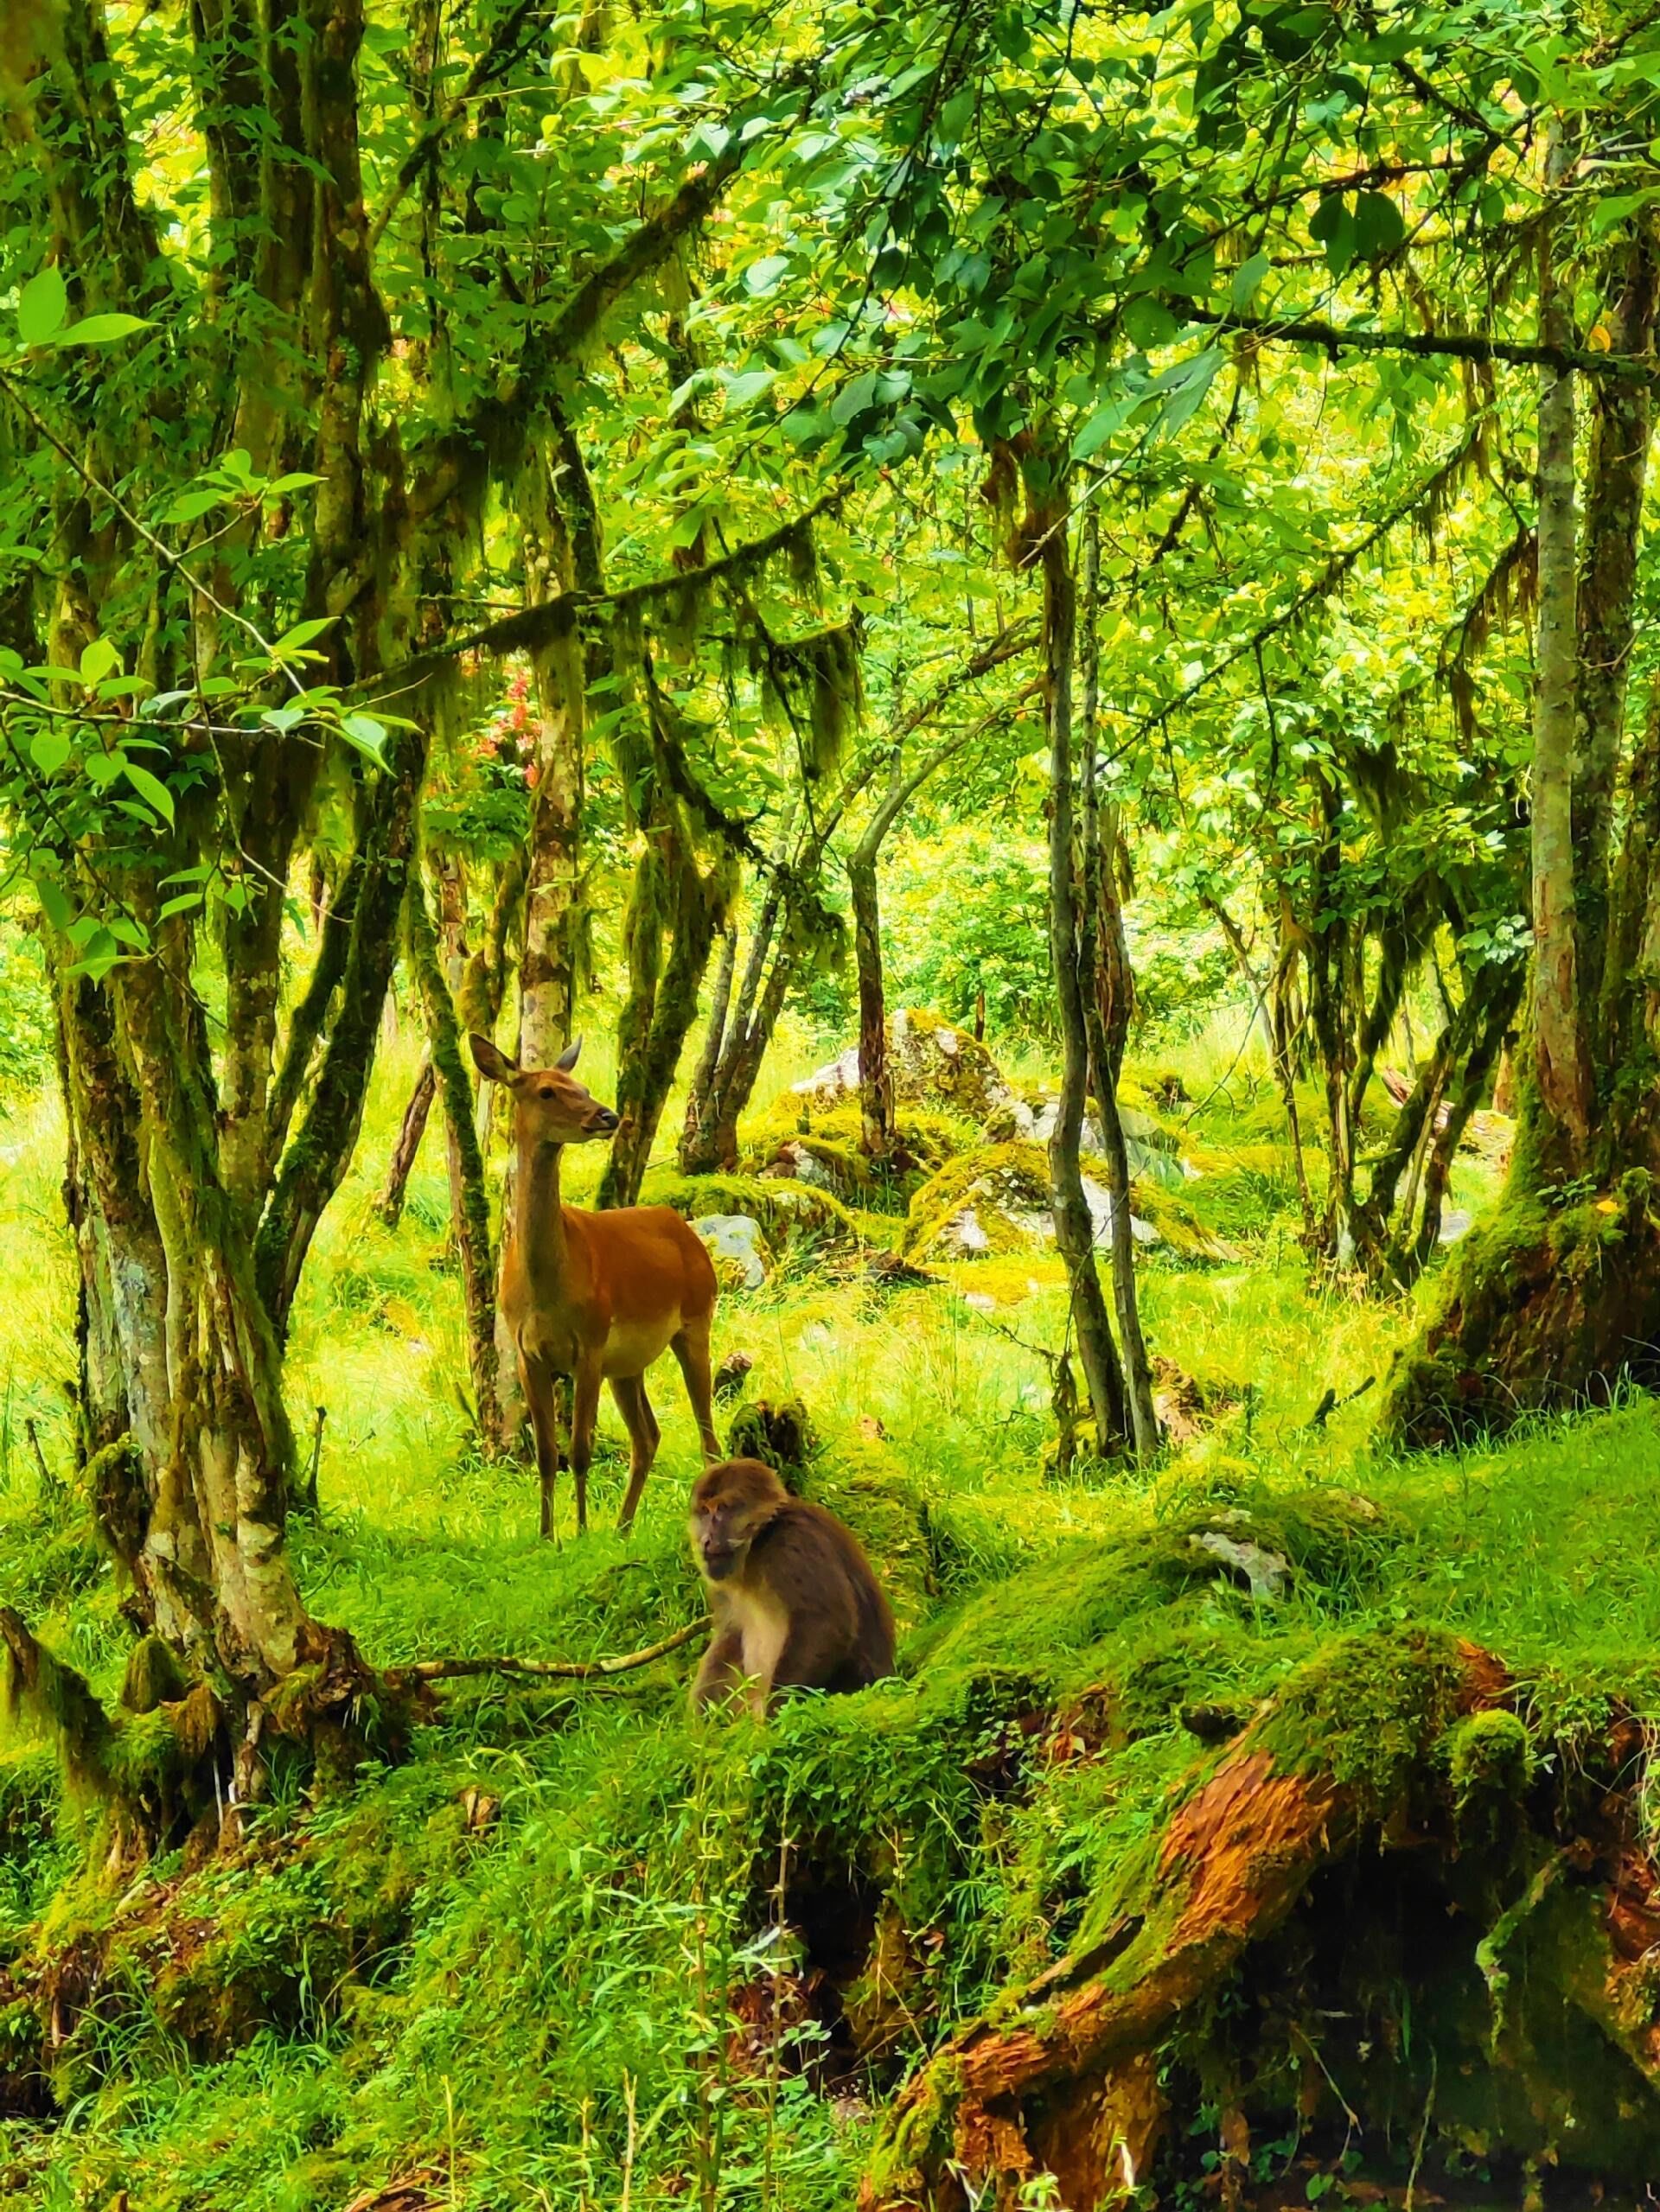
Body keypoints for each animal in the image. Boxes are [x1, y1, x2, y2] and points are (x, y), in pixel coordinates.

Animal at [470, 1033, 721, 1539]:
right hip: (627, 1364)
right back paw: (622, 1528)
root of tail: (684, 1230)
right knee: (648, 1436)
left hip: (695, 1320)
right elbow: (548, 1454)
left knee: (706, 1432)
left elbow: (581, 1450)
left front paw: (582, 1533)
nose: (607, 1115)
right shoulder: (528, 1353)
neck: (547, 1287)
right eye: (547, 1091)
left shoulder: (588, 1342)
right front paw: (547, 1536)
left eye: (582, 1086)